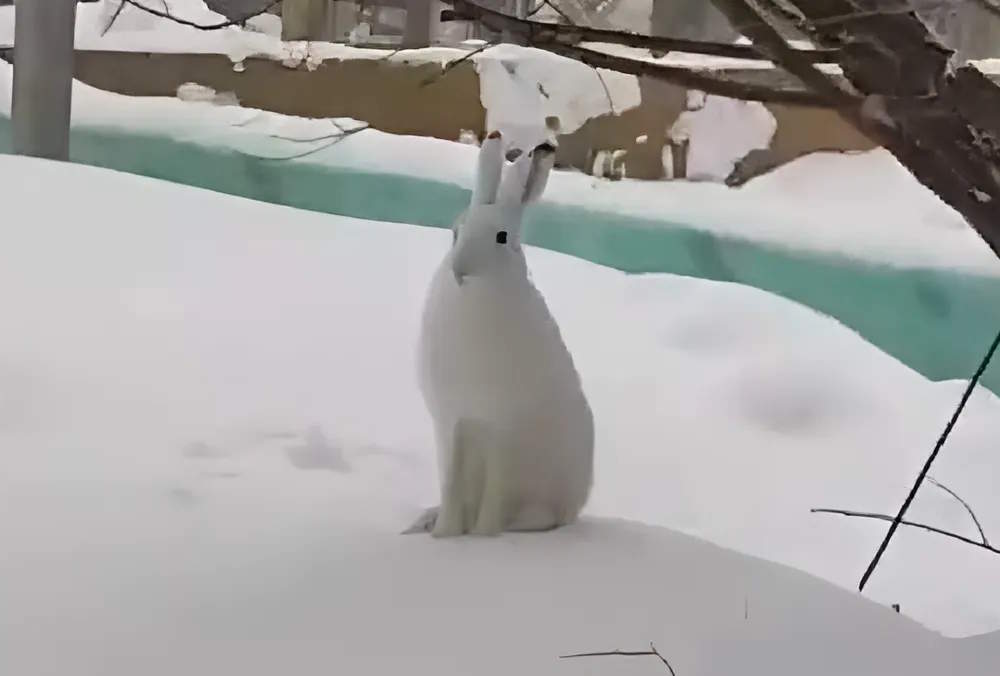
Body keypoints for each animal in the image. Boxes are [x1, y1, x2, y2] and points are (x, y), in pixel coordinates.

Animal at [407, 131, 594, 538]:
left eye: (502, 237)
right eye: (456, 230)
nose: (460, 269)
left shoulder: (503, 427)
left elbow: (496, 488)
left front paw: (483, 537)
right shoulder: (451, 423)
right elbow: (451, 483)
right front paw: (444, 535)